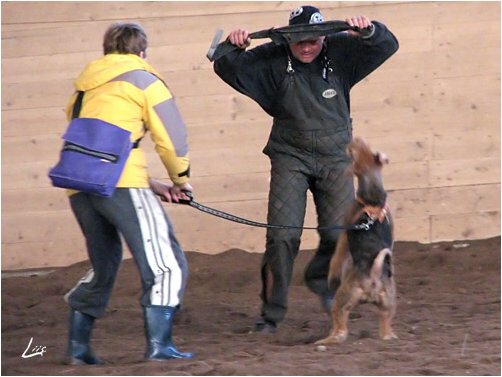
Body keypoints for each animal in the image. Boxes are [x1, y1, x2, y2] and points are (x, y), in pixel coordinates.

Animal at [318, 137, 396, 344]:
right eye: (366, 147)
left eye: (355, 151)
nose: (354, 139)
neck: (372, 197)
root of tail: (373, 276)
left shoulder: (344, 236)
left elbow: (337, 258)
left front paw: (331, 274)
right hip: (388, 304)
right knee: (385, 329)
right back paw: (390, 336)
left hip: (342, 299)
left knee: (340, 328)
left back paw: (325, 340)